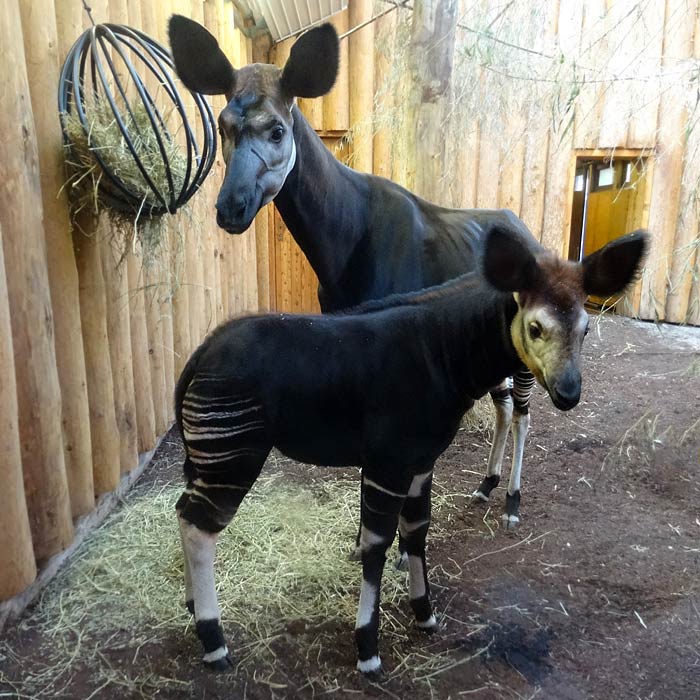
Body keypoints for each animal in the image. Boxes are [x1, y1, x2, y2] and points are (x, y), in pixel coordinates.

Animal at [174, 227, 644, 676]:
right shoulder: (391, 463)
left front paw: (424, 614)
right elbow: (376, 545)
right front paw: (368, 650)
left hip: (209, 458)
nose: (569, 393)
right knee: (200, 527)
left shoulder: (420, 463)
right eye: (535, 328)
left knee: (183, 510)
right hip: (234, 455)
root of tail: (201, 353)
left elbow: (416, 530)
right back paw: (214, 643)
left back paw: (193, 607)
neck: (444, 351)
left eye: (585, 329)